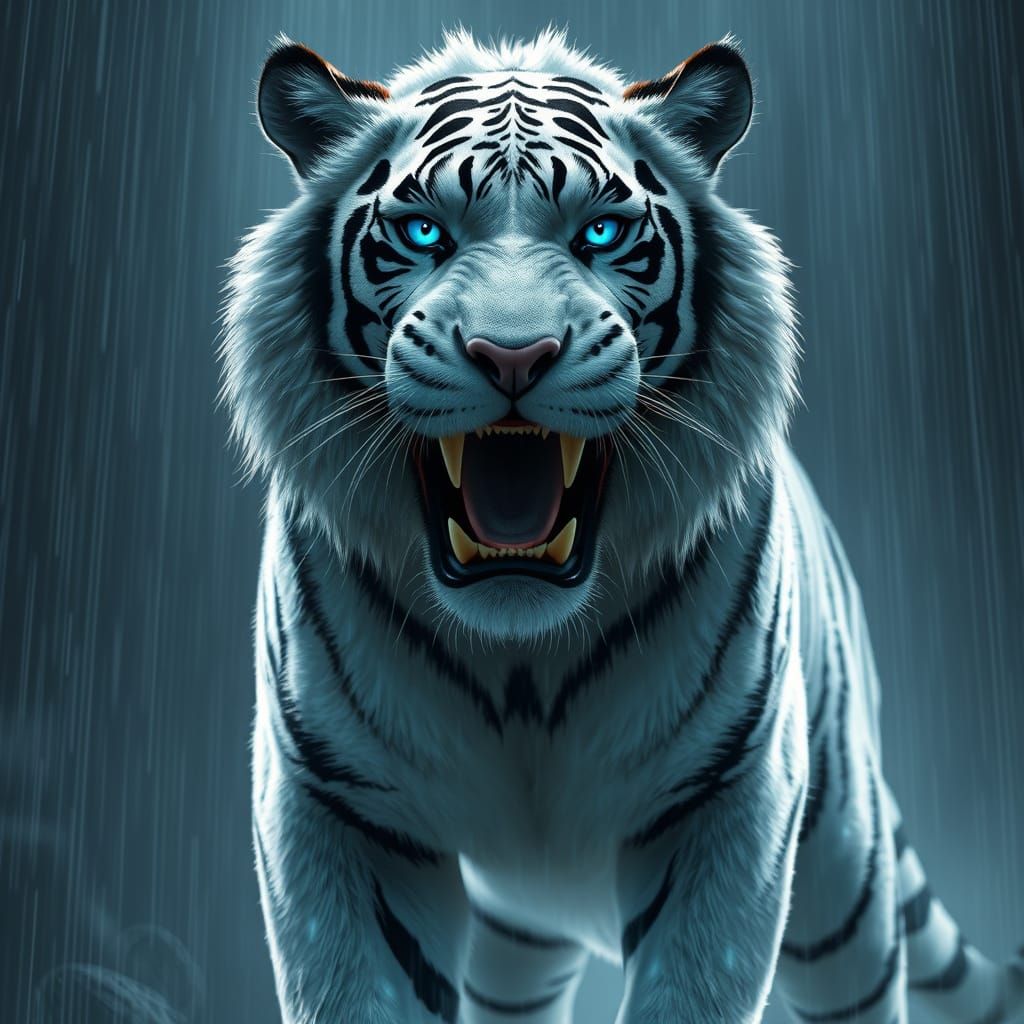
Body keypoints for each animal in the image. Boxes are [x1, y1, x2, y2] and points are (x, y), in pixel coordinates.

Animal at [220, 28, 1024, 1024]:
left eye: (600, 232)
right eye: (423, 232)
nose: (512, 354)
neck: (521, 667)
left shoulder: (726, 797)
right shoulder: (338, 807)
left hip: (841, 879)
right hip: (521, 931)